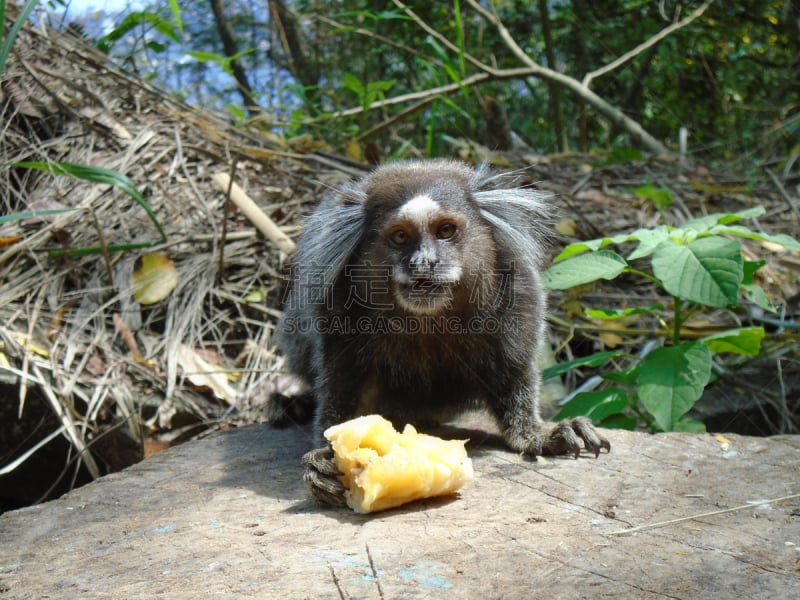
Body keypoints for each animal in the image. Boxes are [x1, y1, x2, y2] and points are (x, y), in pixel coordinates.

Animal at [272, 161, 608, 506]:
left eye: (445, 231)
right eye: (400, 236)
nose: (424, 263)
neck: (428, 320)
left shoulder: (518, 297)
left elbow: (514, 374)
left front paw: (537, 433)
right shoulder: (337, 311)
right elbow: (341, 389)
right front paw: (326, 460)